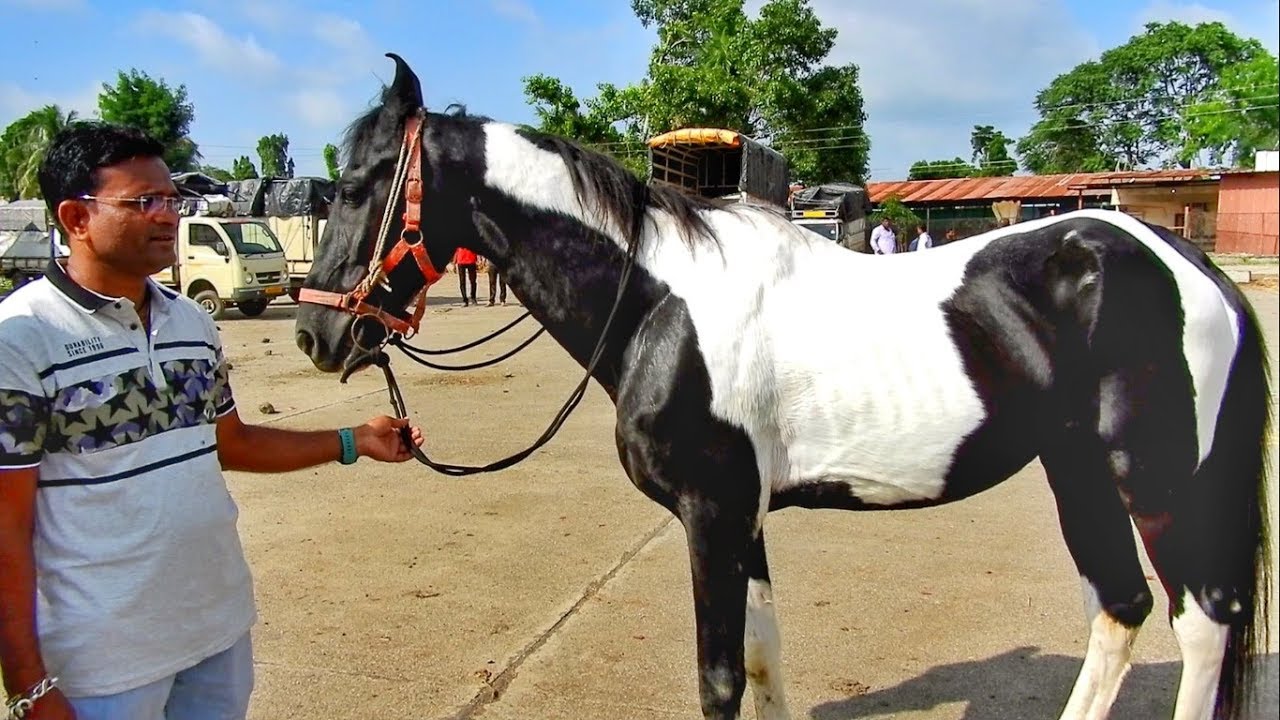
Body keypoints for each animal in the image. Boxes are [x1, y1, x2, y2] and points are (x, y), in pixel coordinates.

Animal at [293, 54, 1273, 720]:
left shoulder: (713, 510)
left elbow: (722, 677)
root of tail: (1187, 262)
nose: (315, 333)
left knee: (1200, 622)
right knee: (1121, 607)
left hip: (1158, 480)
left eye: (362, 182)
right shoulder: (742, 516)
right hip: (1076, 467)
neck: (660, 298)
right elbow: (763, 661)